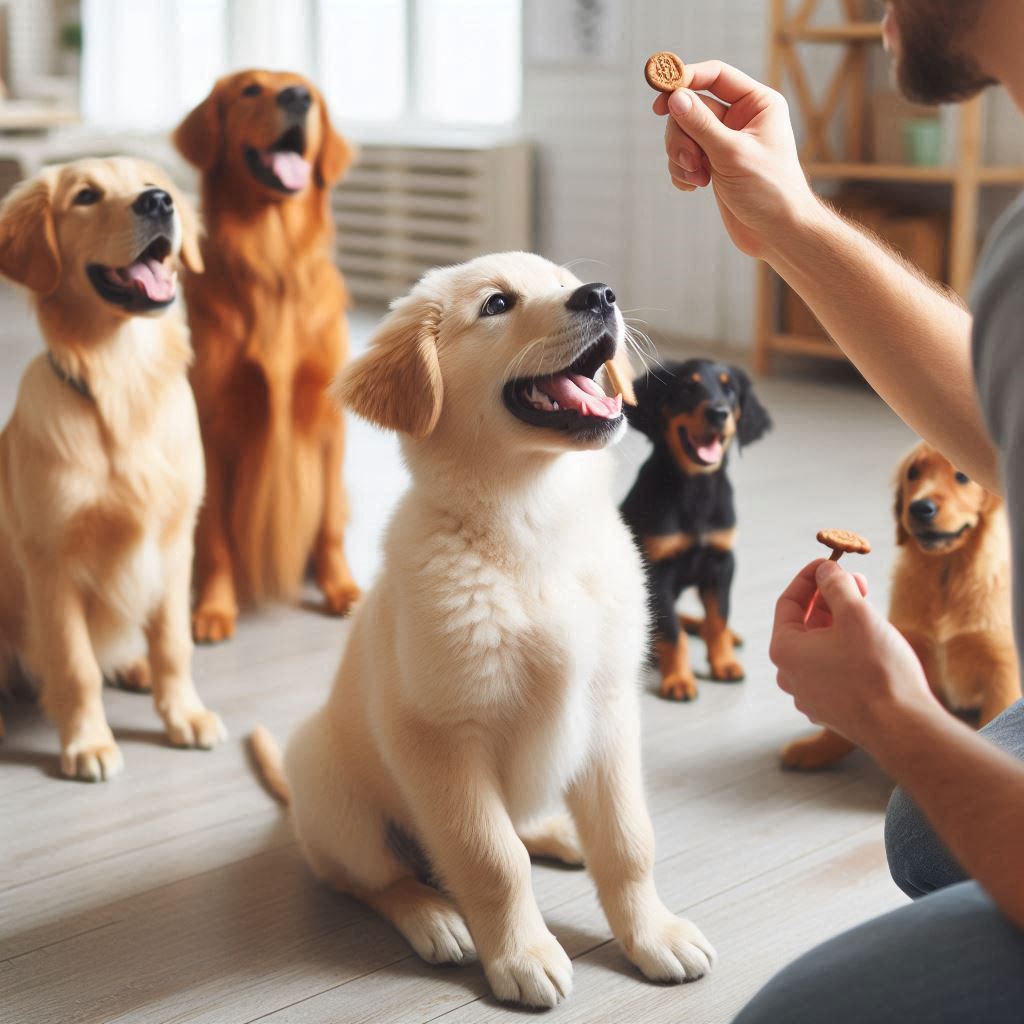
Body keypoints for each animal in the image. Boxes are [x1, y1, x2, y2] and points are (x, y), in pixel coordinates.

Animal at [0, 159, 224, 778]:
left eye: (156, 185)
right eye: (85, 196)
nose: (158, 202)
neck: (123, 382)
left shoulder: (175, 541)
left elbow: (173, 643)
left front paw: (184, 715)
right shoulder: (51, 560)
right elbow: (75, 666)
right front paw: (88, 744)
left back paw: (132, 666)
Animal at [171, 70, 356, 638]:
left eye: (308, 91)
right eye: (250, 90)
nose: (297, 99)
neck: (274, 265)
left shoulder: (328, 423)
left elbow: (327, 525)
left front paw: (341, 588)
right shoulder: (211, 428)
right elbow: (214, 540)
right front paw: (214, 608)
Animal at [250, 253, 712, 1007]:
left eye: (568, 282)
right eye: (497, 304)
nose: (601, 295)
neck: (533, 522)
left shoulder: (609, 712)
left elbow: (627, 842)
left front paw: (654, 935)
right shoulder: (443, 739)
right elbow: (491, 859)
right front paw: (523, 956)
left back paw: (555, 832)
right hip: (333, 793)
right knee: (372, 880)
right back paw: (433, 916)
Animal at [618, 360, 770, 704]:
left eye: (730, 389)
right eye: (688, 387)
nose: (719, 413)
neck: (697, 488)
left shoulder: (722, 561)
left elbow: (718, 617)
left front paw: (724, 662)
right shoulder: (657, 569)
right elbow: (673, 633)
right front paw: (678, 680)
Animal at [782, 440, 1015, 770]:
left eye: (962, 476)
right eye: (913, 473)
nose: (919, 508)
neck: (947, 573)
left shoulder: (1002, 670)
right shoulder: (916, 647)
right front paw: (816, 748)